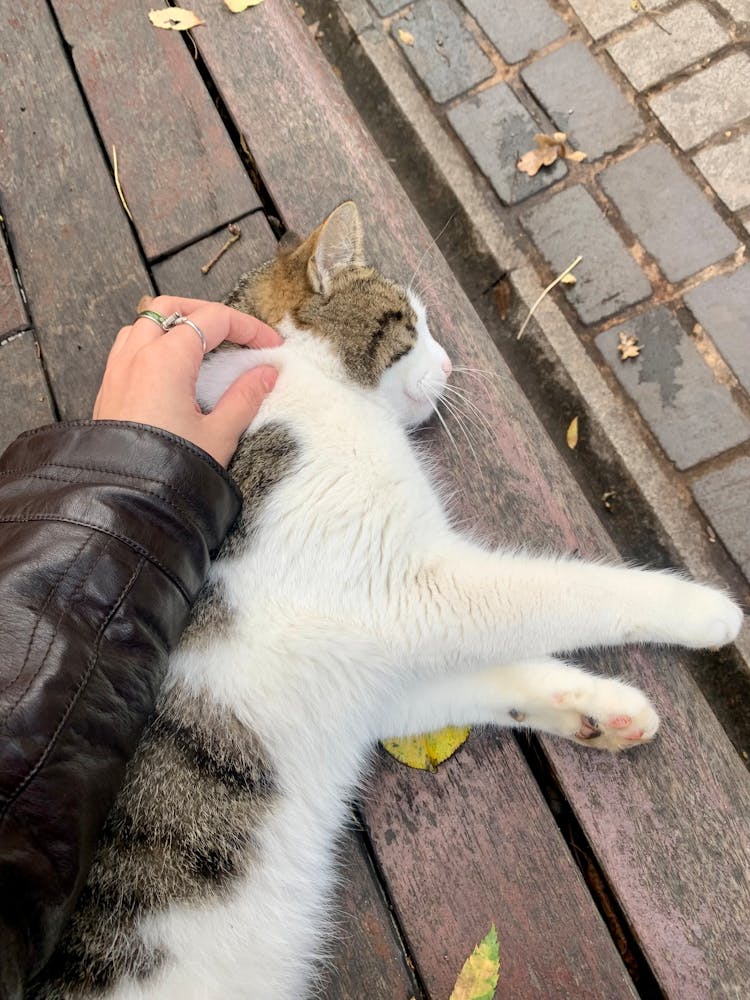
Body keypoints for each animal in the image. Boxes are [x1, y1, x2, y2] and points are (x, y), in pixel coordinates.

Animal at [30, 203, 748, 1000]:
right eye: (409, 319)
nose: (450, 366)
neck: (305, 383)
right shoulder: (412, 588)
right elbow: (567, 590)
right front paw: (703, 610)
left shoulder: (377, 678)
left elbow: (489, 677)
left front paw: (600, 712)